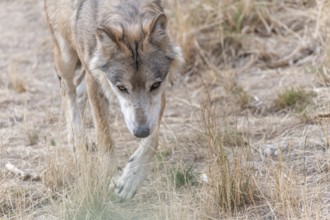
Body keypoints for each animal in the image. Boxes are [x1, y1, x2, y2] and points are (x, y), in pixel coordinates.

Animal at [43, 0, 183, 199]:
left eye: (154, 85)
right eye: (122, 88)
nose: (140, 131)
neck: (128, 14)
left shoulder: (159, 96)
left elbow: (152, 141)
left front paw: (130, 179)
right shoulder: (95, 82)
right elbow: (105, 139)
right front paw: (106, 179)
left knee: (78, 91)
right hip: (66, 57)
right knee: (67, 90)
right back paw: (77, 140)